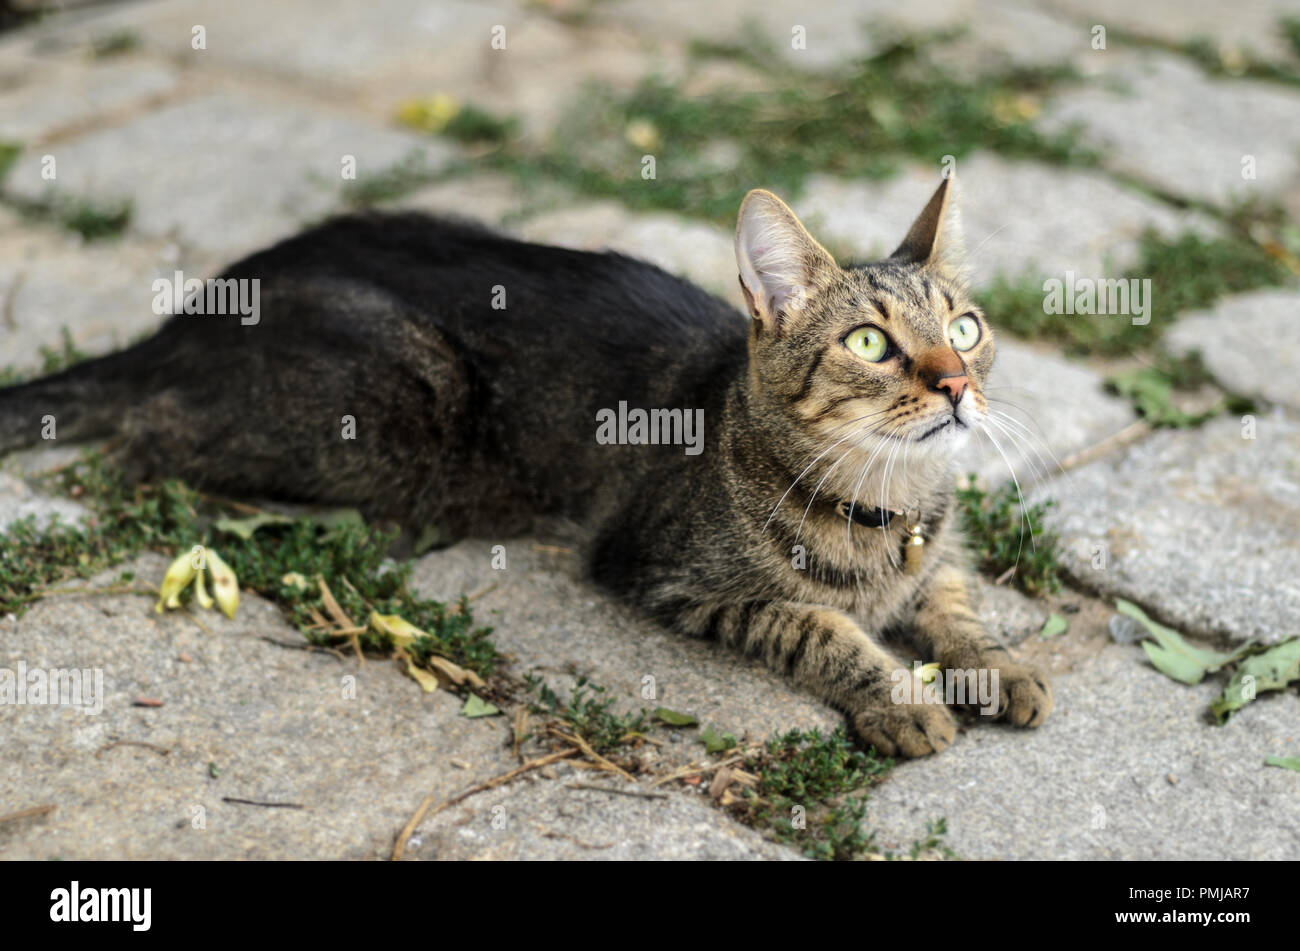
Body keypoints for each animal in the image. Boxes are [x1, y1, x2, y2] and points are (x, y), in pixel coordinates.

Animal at [0, 174, 1050, 753]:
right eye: (871, 344)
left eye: (965, 327)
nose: (958, 383)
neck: (885, 506)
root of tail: (192, 311)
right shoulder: (664, 571)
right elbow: (817, 625)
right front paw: (901, 698)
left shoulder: (933, 559)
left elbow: (958, 606)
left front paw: (1003, 667)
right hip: (394, 405)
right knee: (149, 432)